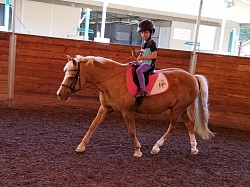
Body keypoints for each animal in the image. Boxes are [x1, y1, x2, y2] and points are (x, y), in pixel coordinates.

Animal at [56, 55, 213, 158]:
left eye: (71, 77)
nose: (60, 94)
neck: (112, 79)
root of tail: (193, 77)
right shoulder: (104, 108)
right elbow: (93, 125)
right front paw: (81, 146)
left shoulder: (127, 111)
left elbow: (132, 131)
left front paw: (137, 150)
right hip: (182, 109)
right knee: (189, 124)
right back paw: (193, 149)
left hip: (177, 109)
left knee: (173, 127)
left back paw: (156, 147)